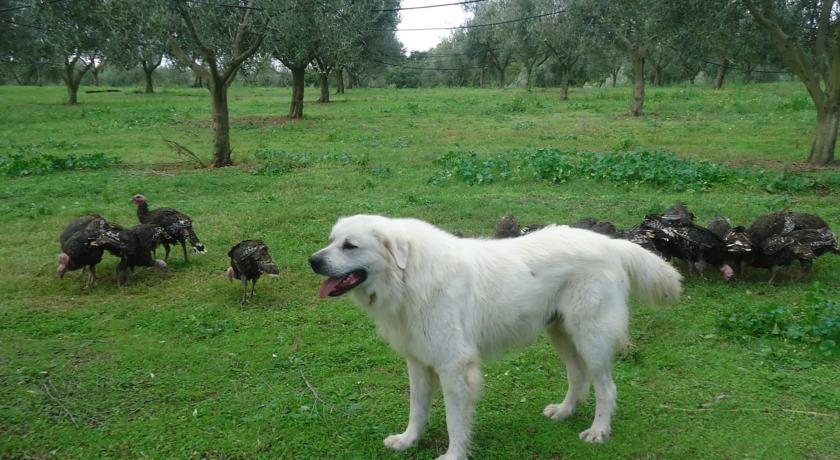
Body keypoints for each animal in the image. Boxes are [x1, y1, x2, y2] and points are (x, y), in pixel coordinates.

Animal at [308, 216, 684, 460]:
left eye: (350, 246)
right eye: (331, 240)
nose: (313, 261)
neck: (407, 276)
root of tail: (609, 243)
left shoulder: (454, 366)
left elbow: (454, 420)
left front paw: (454, 455)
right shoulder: (418, 361)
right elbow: (417, 408)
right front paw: (408, 440)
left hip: (590, 337)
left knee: (607, 388)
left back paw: (598, 431)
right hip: (561, 333)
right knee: (578, 377)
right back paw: (564, 411)